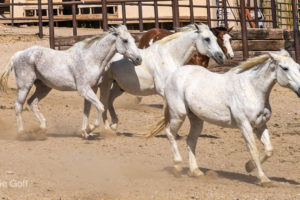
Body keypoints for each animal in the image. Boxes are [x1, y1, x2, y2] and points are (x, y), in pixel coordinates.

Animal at [0, 25, 142, 140]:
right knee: (19, 106)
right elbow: (101, 107)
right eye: (125, 40)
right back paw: (21, 133)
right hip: (24, 86)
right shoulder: (84, 90)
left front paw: (85, 132)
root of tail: (19, 54)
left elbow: (87, 110)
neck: (91, 59)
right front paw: (90, 128)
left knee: (32, 102)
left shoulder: (92, 89)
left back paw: (42, 128)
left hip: (44, 87)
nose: (139, 59)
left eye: (133, 39)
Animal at [99, 23, 227, 131]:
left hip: (119, 87)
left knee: (109, 100)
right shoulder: (163, 90)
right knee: (103, 101)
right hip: (105, 83)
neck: (169, 56)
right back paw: (105, 127)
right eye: (207, 39)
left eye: (216, 38)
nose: (221, 57)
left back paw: (114, 124)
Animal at [149, 49, 300, 184]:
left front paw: (248, 166)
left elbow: (269, 150)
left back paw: (196, 171)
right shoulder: (244, 125)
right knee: (170, 133)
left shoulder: (260, 124)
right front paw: (263, 179)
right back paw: (177, 167)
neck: (251, 88)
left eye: (298, 66)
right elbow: (254, 150)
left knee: (191, 140)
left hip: (196, 119)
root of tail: (173, 76)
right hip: (178, 114)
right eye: (285, 68)